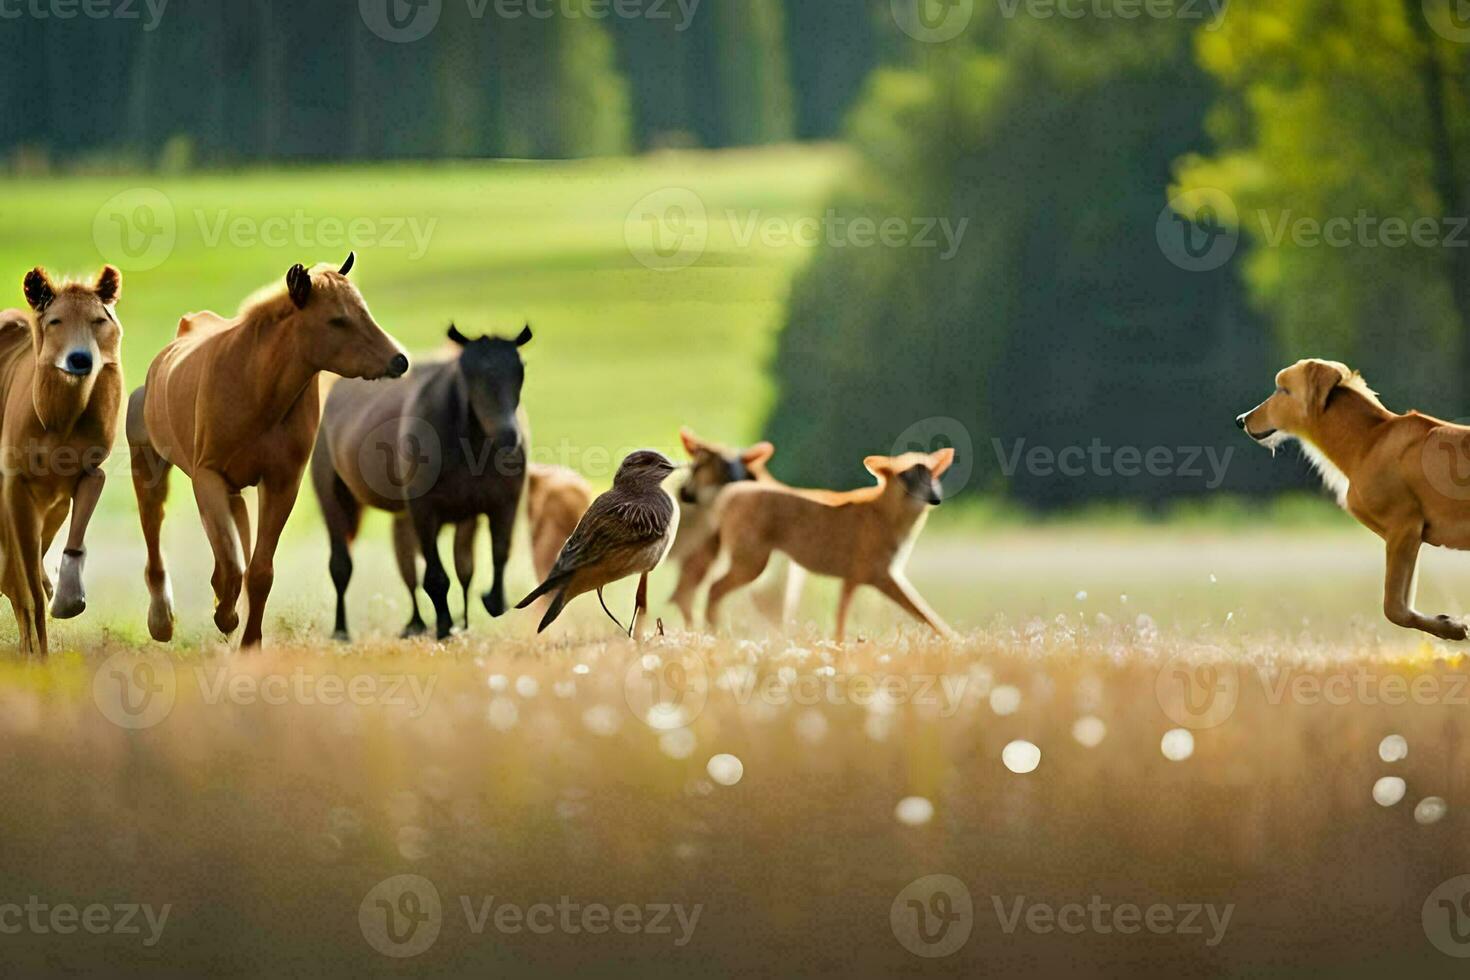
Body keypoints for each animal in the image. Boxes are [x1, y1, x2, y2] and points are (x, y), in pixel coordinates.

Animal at [0, 264, 123, 655]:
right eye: (55, 320)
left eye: (98, 319)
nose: (80, 358)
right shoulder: (15, 482)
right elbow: (26, 585)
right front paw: (40, 655)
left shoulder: (89, 472)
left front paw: (67, 598)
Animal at [127, 257, 408, 646]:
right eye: (337, 319)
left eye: (362, 310)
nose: (399, 361)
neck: (256, 386)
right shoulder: (207, 476)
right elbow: (231, 563)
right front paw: (224, 615)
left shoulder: (280, 484)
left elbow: (258, 569)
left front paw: (247, 639)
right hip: (149, 466)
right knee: (153, 525)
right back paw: (162, 621)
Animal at [313, 323, 532, 643]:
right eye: (469, 374)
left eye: (520, 370)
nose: (508, 436)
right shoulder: (424, 509)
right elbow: (437, 576)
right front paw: (444, 626)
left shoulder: (501, 505)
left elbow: (490, 559)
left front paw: (483, 608)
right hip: (334, 497)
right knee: (342, 565)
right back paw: (342, 631)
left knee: (413, 567)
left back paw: (416, 623)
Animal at [705, 449, 958, 640]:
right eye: (907, 477)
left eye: (934, 476)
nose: (935, 498)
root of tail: (728, 497)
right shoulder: (879, 573)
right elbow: (926, 614)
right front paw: (956, 642)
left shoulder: (854, 577)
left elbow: (839, 620)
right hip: (753, 563)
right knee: (715, 589)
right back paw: (716, 633)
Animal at [1240, 359, 1470, 643]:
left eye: (1283, 389)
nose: (1241, 420)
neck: (1368, 441)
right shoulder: (1409, 537)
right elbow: (1401, 606)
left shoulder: (1404, 529)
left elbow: (1394, 609)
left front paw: (1452, 627)